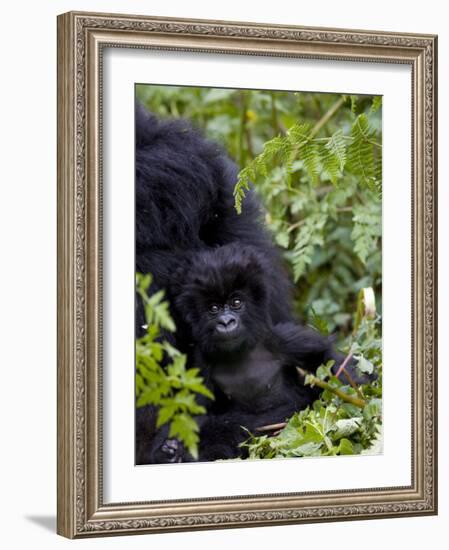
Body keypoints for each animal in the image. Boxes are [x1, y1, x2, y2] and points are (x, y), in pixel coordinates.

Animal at [156, 244, 356, 464]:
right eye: (214, 308)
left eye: (236, 303)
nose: (226, 322)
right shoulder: (200, 366)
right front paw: (174, 448)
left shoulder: (281, 340)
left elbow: (325, 359)